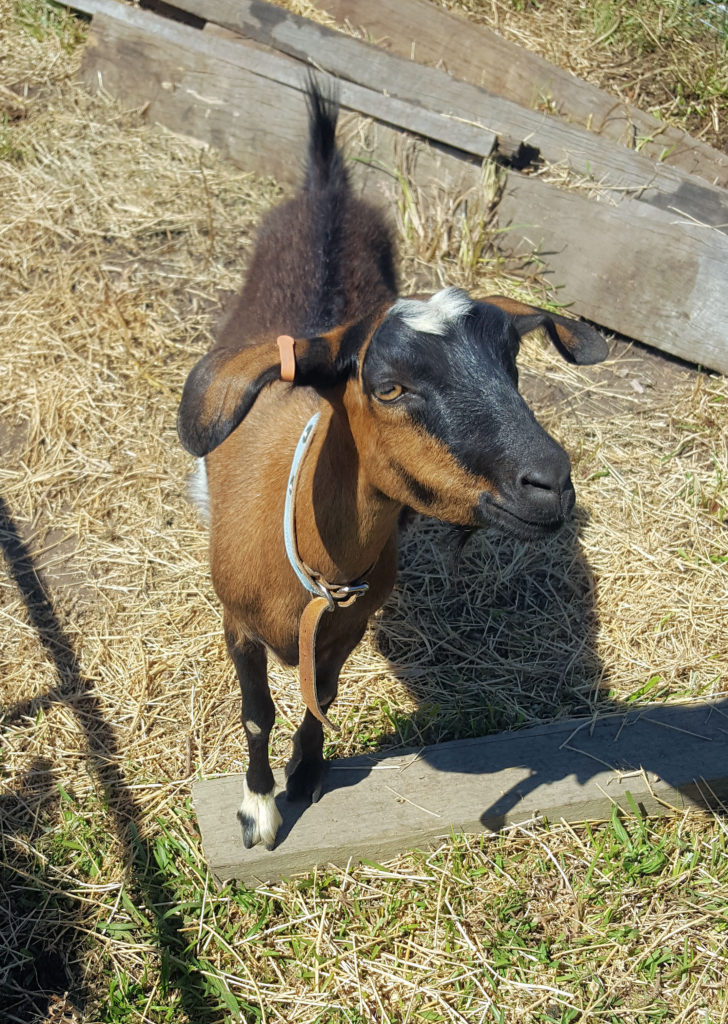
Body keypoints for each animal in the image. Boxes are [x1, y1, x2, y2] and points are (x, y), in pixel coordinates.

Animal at [178, 81, 610, 847]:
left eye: (512, 365)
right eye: (388, 387)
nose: (550, 484)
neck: (311, 566)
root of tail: (326, 187)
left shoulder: (346, 629)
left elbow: (323, 696)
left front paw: (306, 775)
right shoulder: (238, 624)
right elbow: (257, 714)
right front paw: (258, 810)